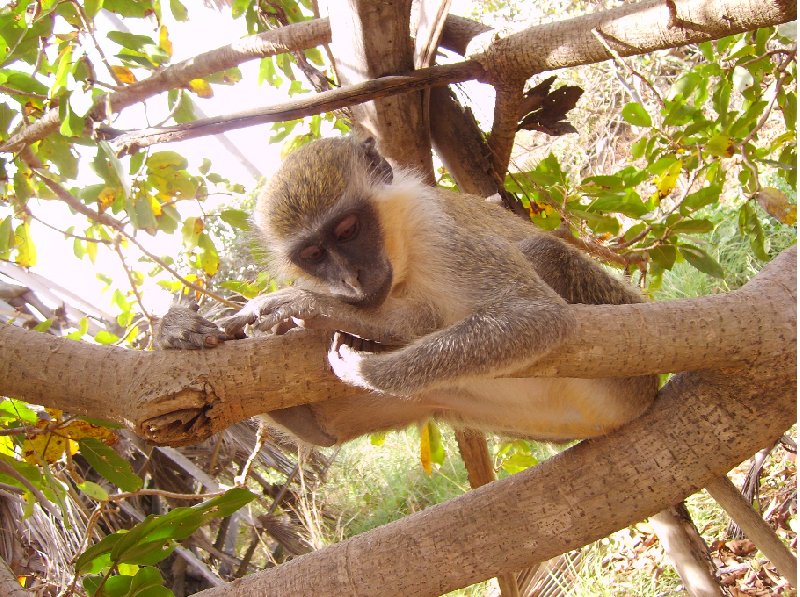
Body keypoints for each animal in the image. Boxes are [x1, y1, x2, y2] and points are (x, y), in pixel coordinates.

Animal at [158, 135, 656, 442]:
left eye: (347, 230)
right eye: (313, 254)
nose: (349, 279)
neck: (402, 250)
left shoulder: (440, 236)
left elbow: (535, 317)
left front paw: (362, 365)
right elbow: (324, 428)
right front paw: (176, 327)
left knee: (541, 250)